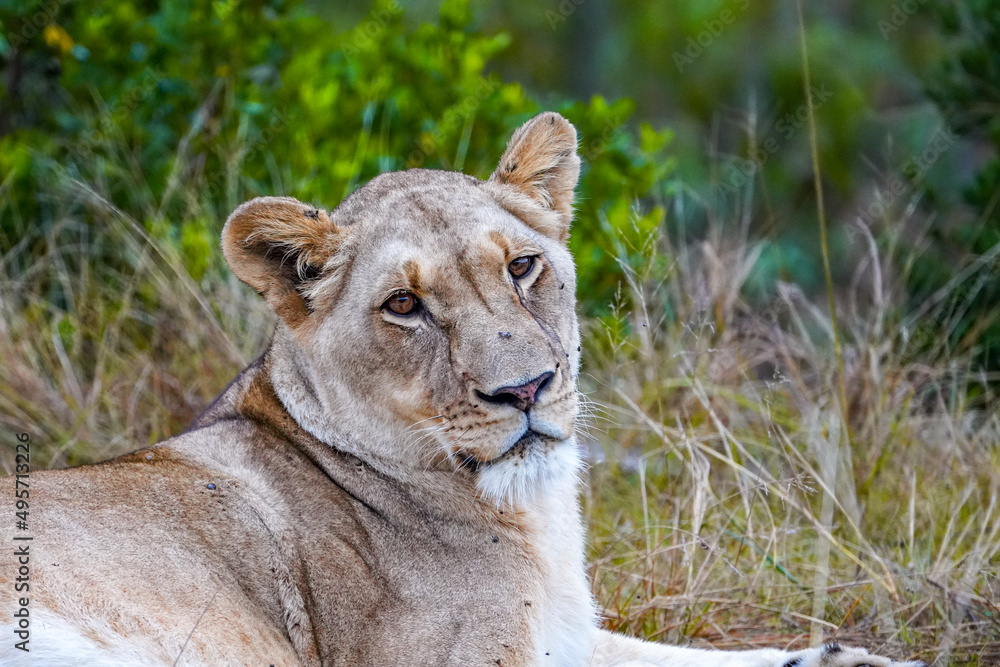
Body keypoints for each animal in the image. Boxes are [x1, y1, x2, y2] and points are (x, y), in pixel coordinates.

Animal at [1, 112, 921, 667]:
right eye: (404, 305)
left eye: (522, 267)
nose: (526, 390)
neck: (532, 517)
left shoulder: (568, 634)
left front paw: (851, 657)